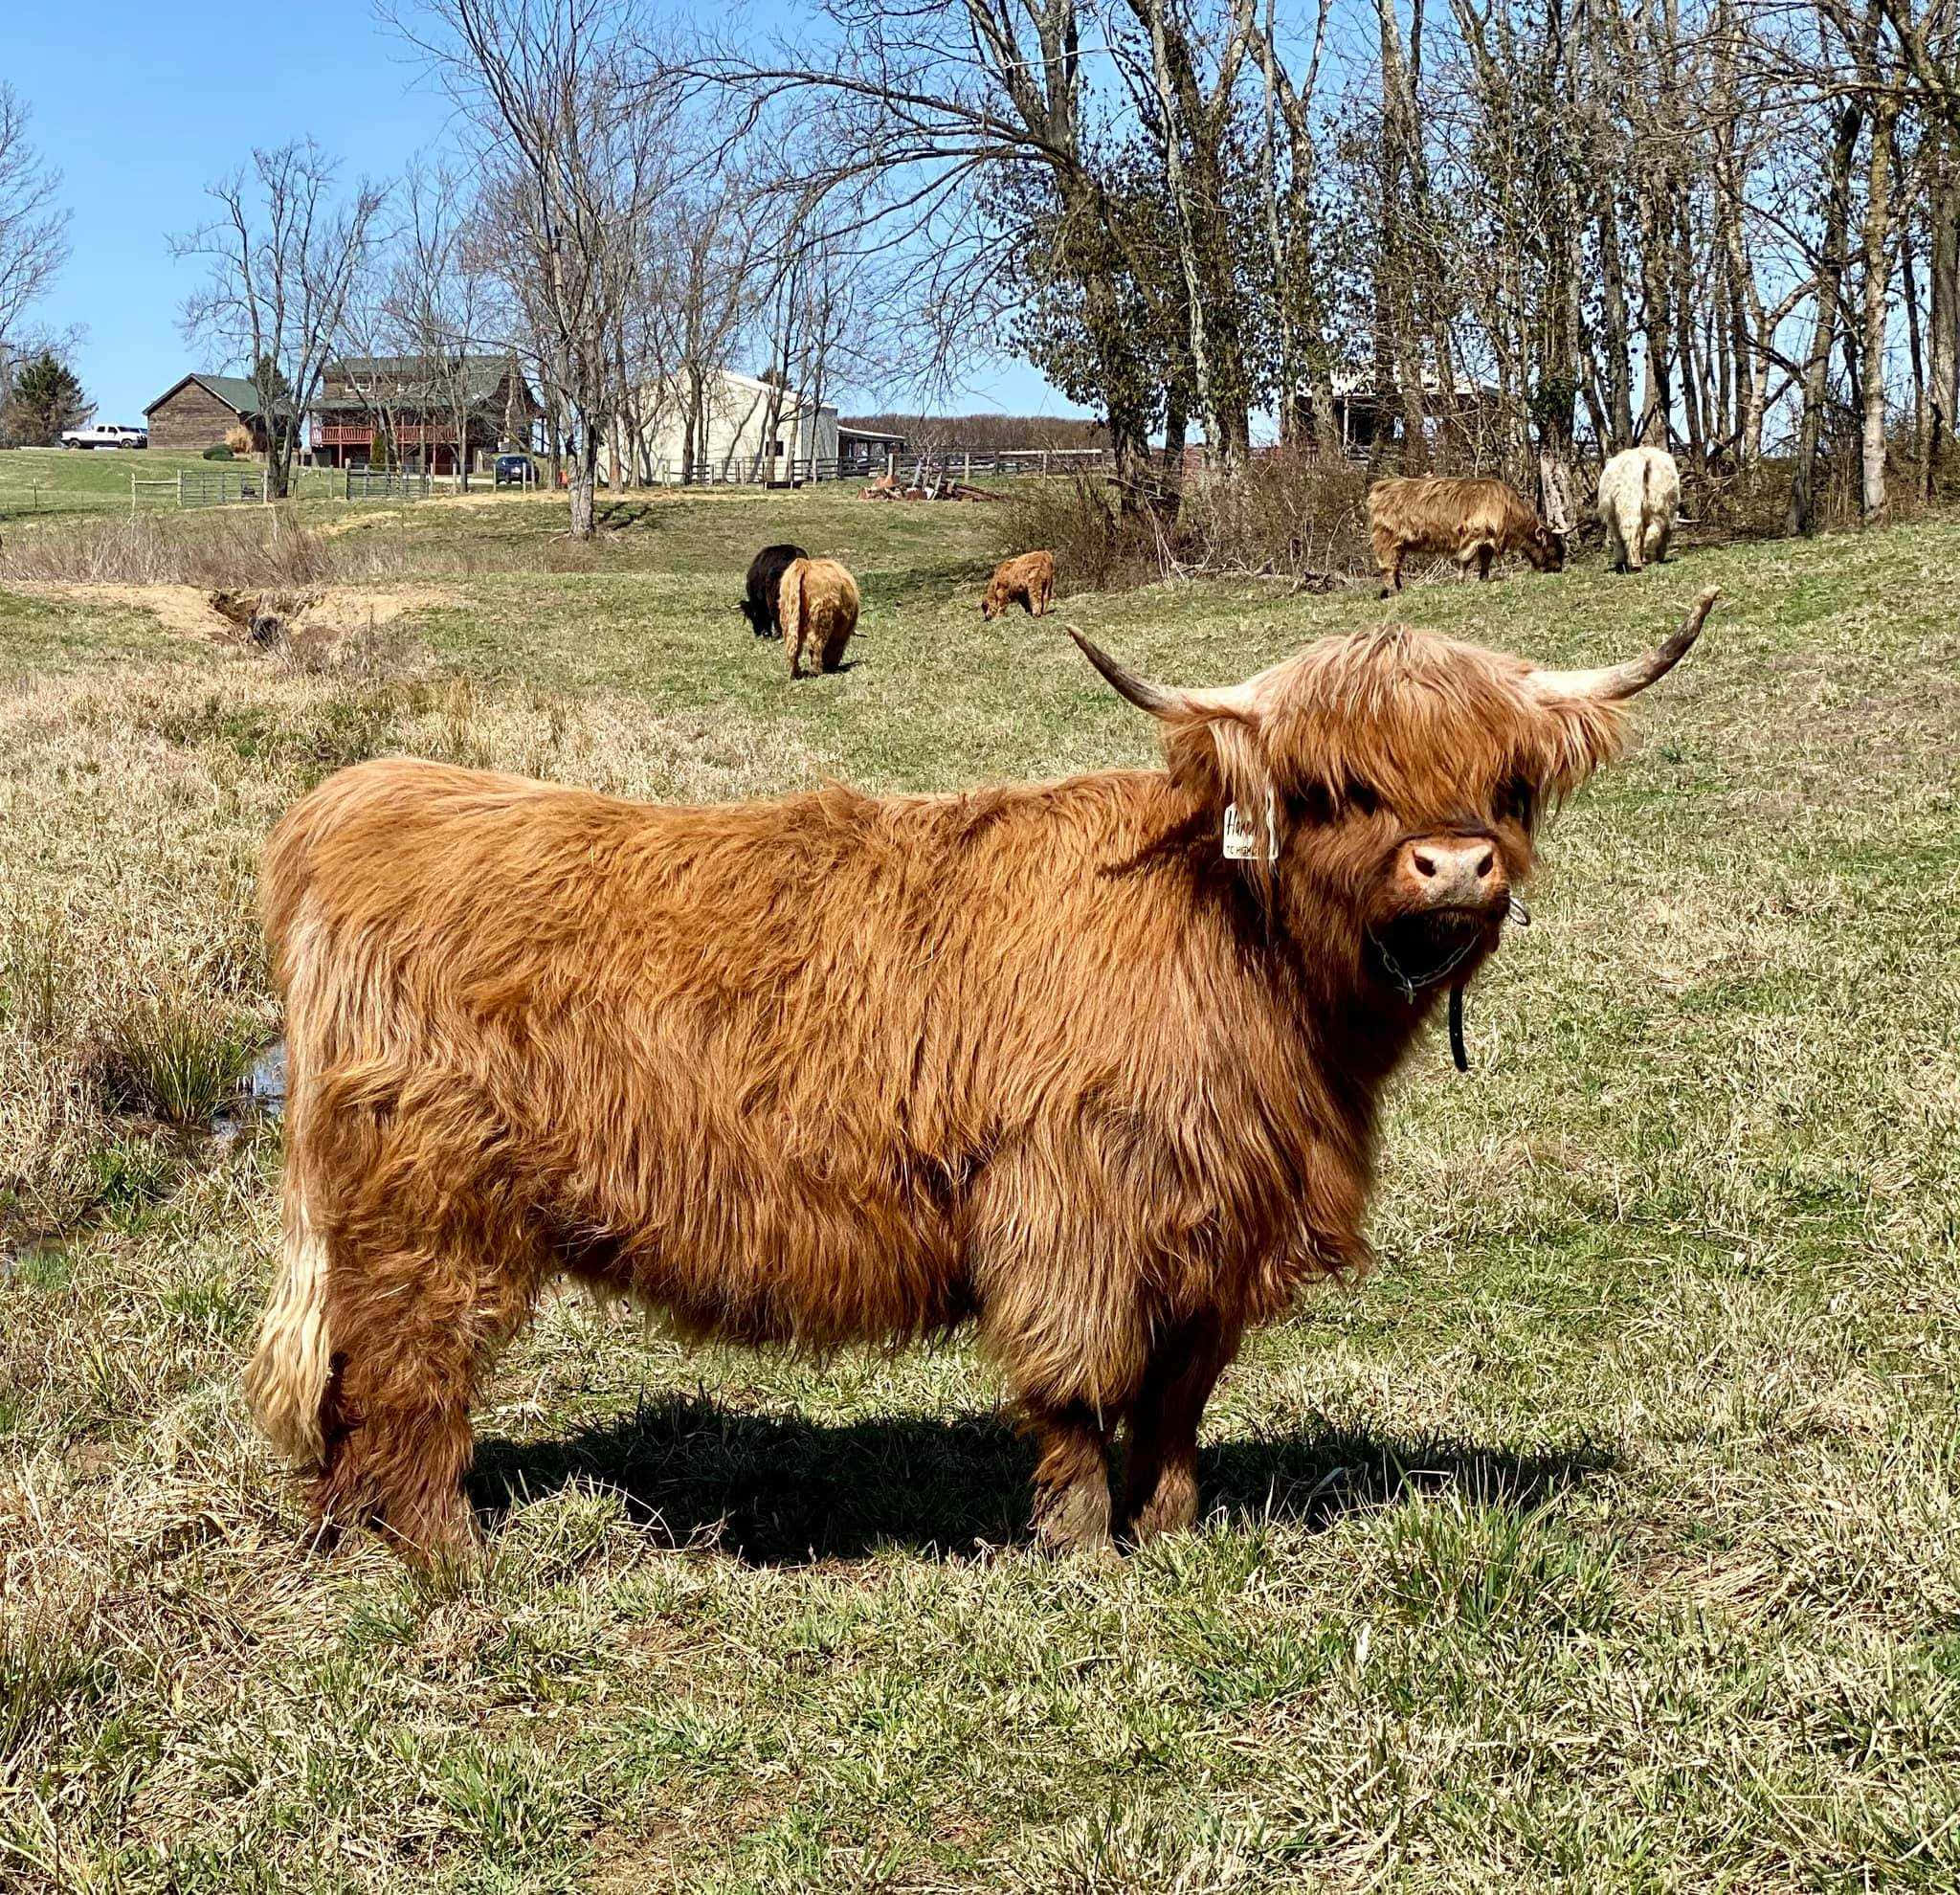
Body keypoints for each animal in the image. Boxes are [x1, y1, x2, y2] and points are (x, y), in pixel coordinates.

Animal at [244, 587, 1718, 1566]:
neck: (1241, 962)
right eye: (1333, 787)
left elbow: (1178, 1397)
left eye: (1507, 783)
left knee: (348, 1379)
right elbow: (1073, 1384)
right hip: (432, 1212)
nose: (1455, 865)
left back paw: (343, 1536)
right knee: (410, 1372)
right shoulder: (1067, 1206)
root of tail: (360, 798)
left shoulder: (1217, 1235)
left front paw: (1173, 1533)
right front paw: (1074, 1547)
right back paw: (441, 1558)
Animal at [1367, 476, 1566, 597]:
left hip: (1399, 544)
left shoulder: (1487, 540)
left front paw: (1483, 578)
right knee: (1387, 567)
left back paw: (1400, 588)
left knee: (1396, 567)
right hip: (1386, 539)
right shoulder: (1474, 534)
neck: (1508, 509)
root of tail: (1379, 487)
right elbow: (1465, 559)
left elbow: (1485, 560)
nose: (1558, 568)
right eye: (1553, 547)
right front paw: (1461, 580)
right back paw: (1395, 592)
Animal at [1598, 447, 1681, 574]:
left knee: (1631, 530)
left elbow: (1617, 538)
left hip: (1629, 503)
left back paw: (1636, 563)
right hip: (1658, 505)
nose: (1661, 557)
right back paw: (1644, 559)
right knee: (1652, 530)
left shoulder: (1611, 517)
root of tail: (1644, 457)